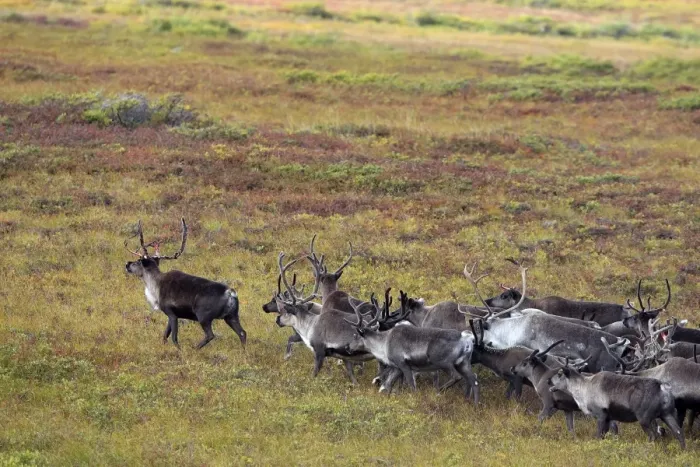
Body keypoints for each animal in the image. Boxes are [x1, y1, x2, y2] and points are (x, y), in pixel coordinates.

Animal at [124, 219, 246, 349]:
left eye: (138, 261)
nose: (127, 264)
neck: (155, 286)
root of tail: (231, 293)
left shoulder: (171, 312)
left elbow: (174, 337)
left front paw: (179, 350)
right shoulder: (174, 315)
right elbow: (165, 335)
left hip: (204, 316)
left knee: (210, 335)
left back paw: (195, 348)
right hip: (231, 315)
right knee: (242, 332)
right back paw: (244, 351)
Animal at [345, 291, 480, 403]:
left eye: (356, 335)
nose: (347, 347)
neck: (384, 342)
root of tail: (467, 339)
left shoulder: (404, 364)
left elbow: (411, 385)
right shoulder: (397, 367)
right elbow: (388, 385)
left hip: (444, 362)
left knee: (457, 377)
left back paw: (439, 391)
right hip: (463, 363)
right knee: (473, 380)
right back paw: (474, 404)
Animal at [548, 365, 685, 449]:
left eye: (559, 374)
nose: (548, 381)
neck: (583, 389)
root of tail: (662, 387)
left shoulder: (601, 415)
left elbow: (598, 435)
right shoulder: (609, 418)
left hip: (644, 418)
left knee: (654, 435)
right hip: (667, 414)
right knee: (679, 432)